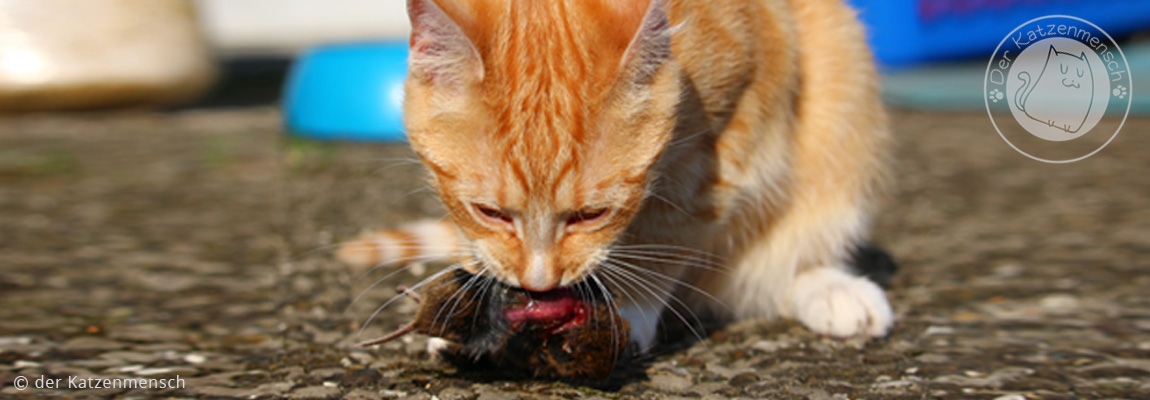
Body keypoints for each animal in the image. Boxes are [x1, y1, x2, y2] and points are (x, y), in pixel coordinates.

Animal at [340, 0, 897, 349]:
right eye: (490, 212)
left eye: (591, 215)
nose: (539, 284)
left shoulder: (729, 137)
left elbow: (666, 235)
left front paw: (627, 310)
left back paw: (831, 289)